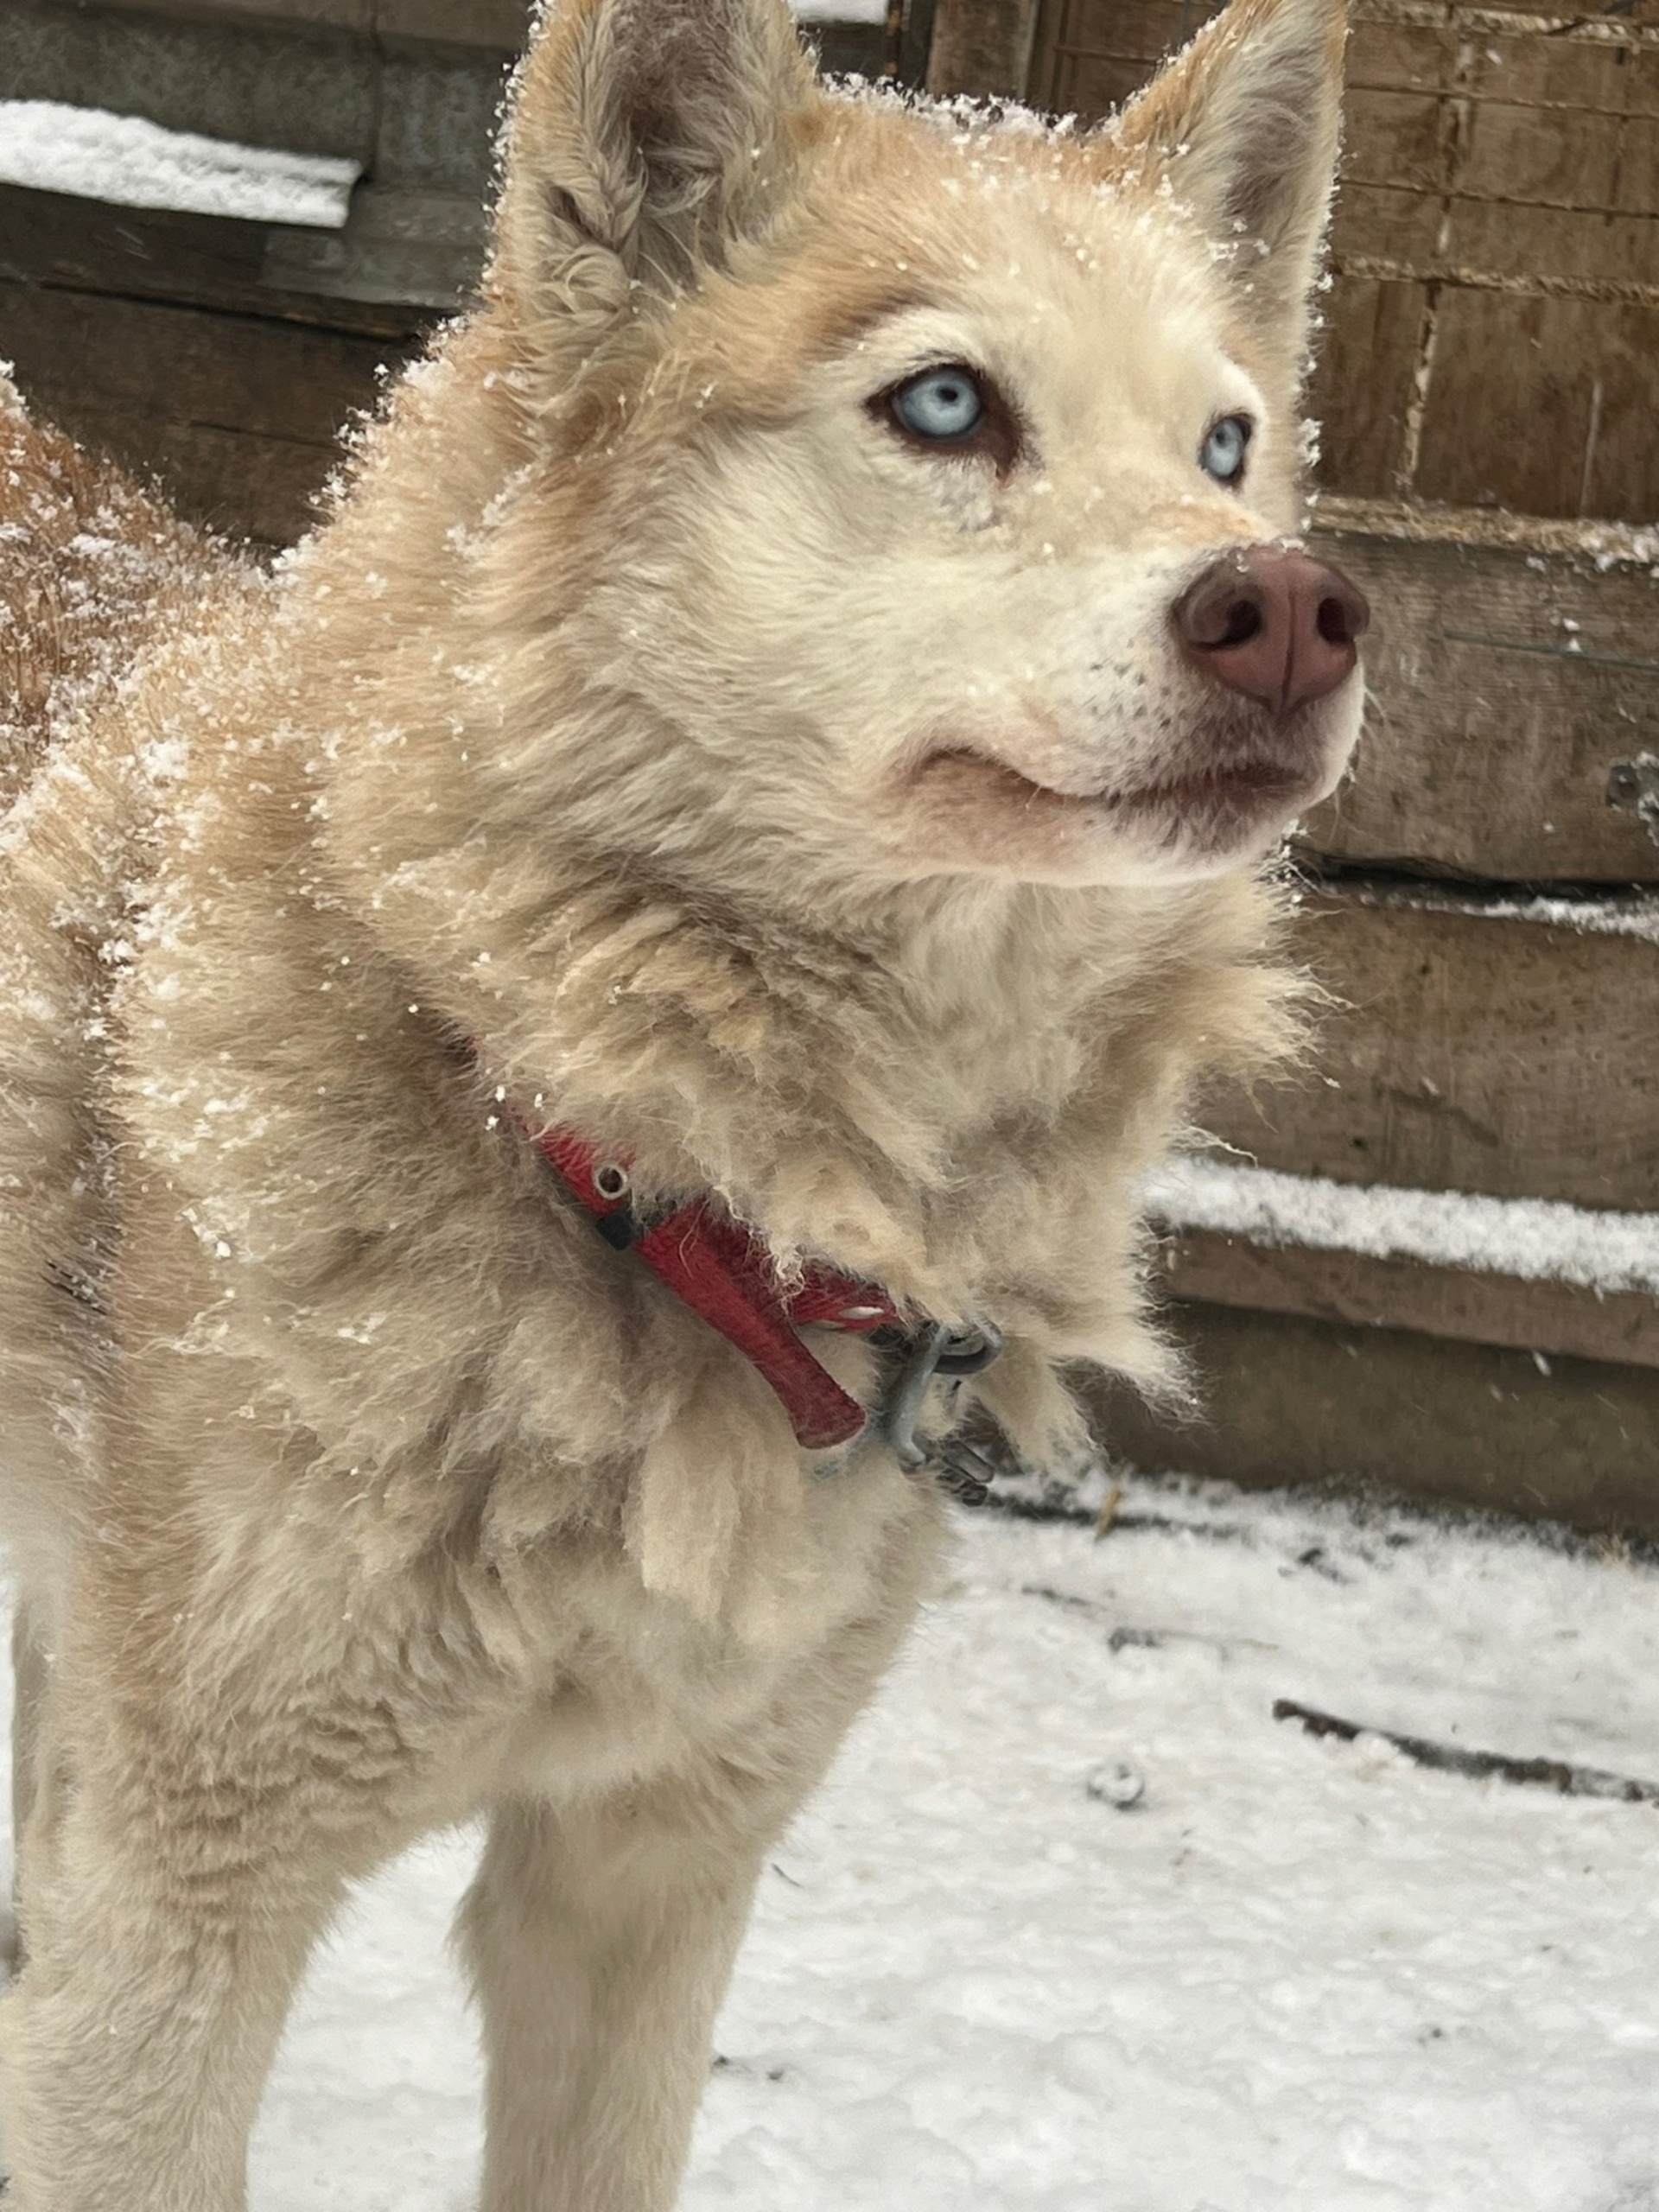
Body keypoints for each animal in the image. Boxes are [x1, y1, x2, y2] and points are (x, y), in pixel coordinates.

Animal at [0, 0, 1362, 2202]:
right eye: (946, 402)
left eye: (1225, 445)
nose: (1295, 608)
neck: (607, 1139)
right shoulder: (181, 1913)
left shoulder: (648, 1878)